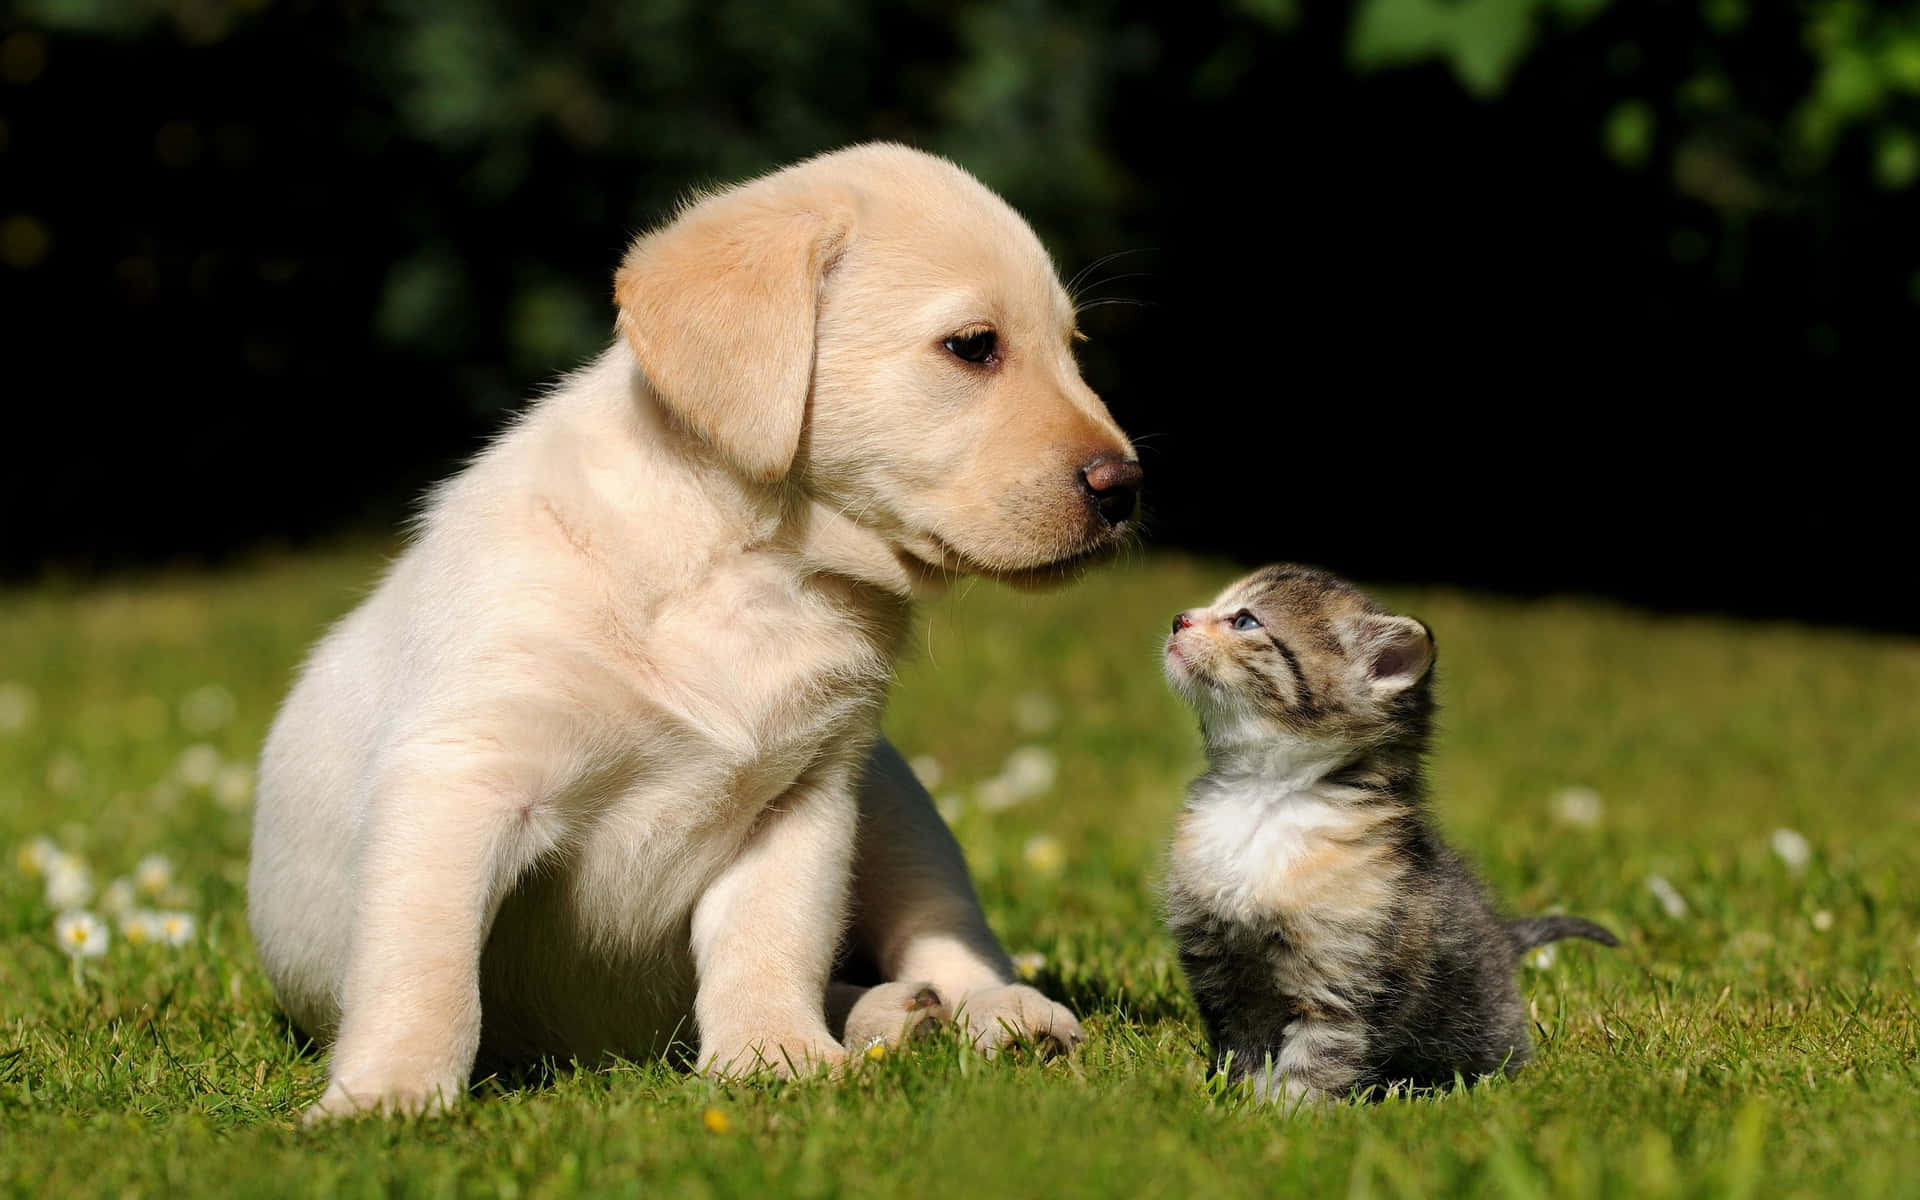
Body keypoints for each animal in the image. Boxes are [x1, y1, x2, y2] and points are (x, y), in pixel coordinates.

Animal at [245, 144, 1128, 1121]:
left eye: (1075, 351)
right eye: (974, 346)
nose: (1124, 486)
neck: (753, 567)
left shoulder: (803, 799)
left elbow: (770, 943)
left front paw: (776, 1056)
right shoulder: (461, 780)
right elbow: (424, 971)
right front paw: (388, 1097)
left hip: (897, 806)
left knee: (945, 931)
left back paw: (984, 1012)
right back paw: (893, 1016)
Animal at [1152, 564, 1620, 1098]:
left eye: (1245, 621)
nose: (1179, 619)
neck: (1264, 797)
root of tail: (1503, 939)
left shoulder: (1344, 977)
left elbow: (1317, 1056)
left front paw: (1287, 1110)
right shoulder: (1222, 967)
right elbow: (1242, 1045)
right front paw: (1237, 1098)